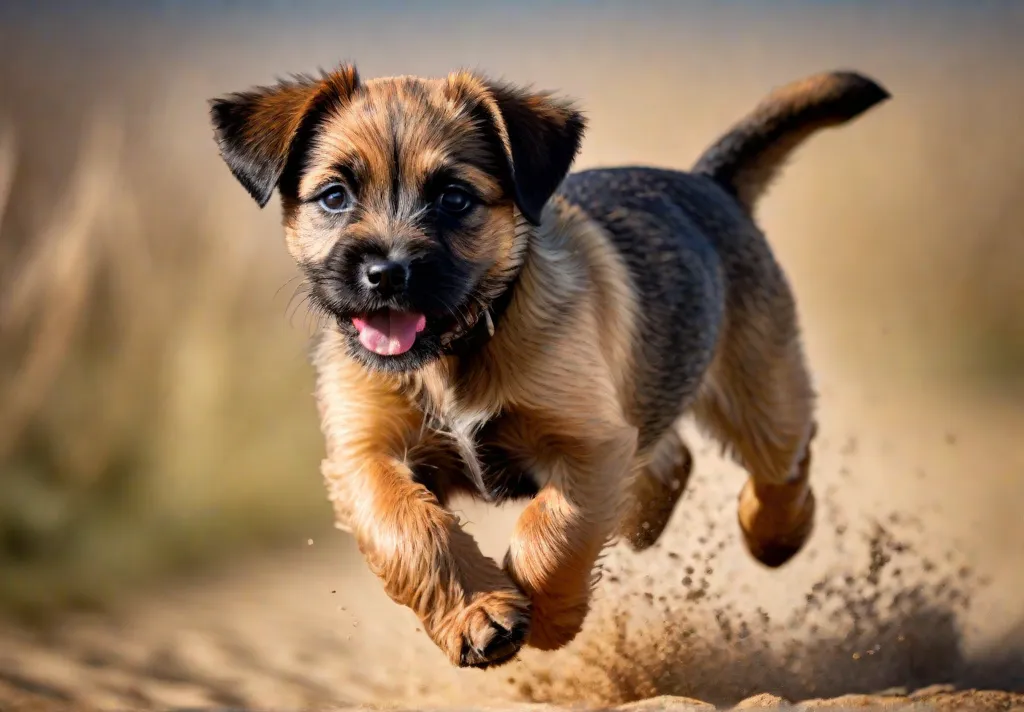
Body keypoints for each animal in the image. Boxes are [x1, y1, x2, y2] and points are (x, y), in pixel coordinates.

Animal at [207, 65, 888, 667]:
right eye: (335, 196)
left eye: (453, 198)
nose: (387, 274)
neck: (456, 352)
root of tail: (709, 183)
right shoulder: (364, 455)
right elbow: (412, 529)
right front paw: (478, 612)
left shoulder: (586, 441)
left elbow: (554, 529)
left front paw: (548, 617)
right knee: (672, 458)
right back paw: (643, 519)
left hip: (759, 387)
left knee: (783, 457)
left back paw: (775, 532)